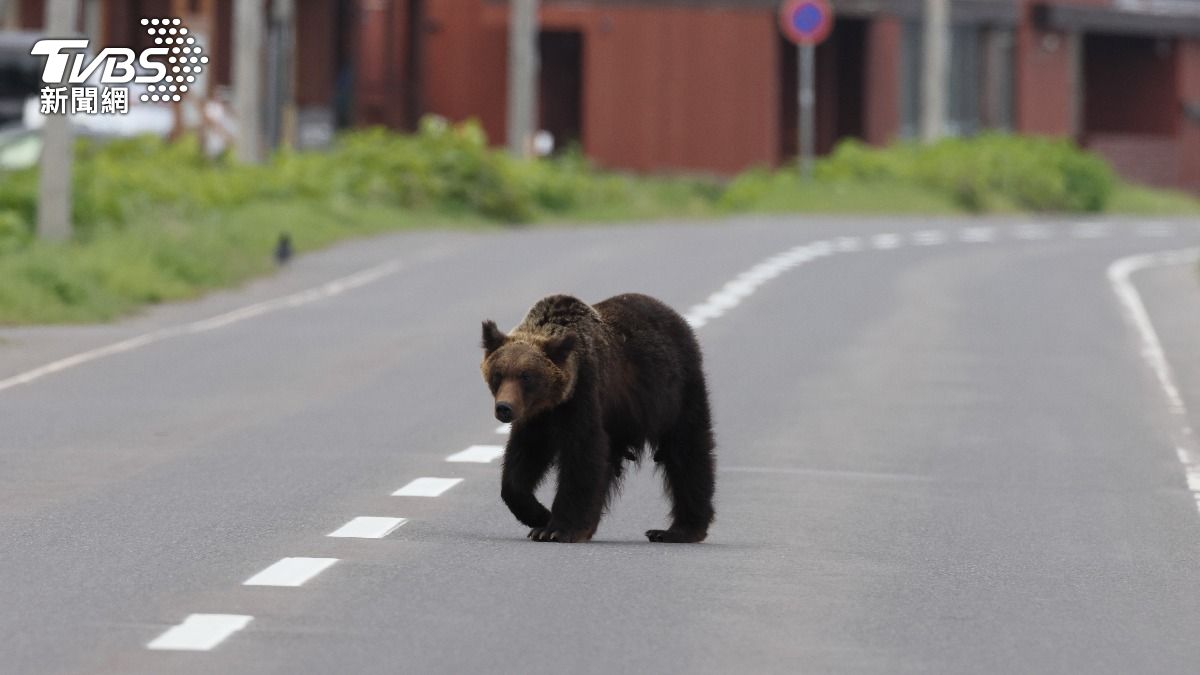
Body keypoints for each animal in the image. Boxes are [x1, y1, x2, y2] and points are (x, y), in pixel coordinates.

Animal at [482, 293, 715, 540]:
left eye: (526, 376)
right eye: (498, 374)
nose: (504, 408)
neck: (554, 401)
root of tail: (675, 316)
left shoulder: (585, 394)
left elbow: (583, 455)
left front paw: (557, 529)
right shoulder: (537, 418)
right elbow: (523, 458)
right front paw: (539, 516)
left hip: (676, 393)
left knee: (687, 452)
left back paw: (678, 529)